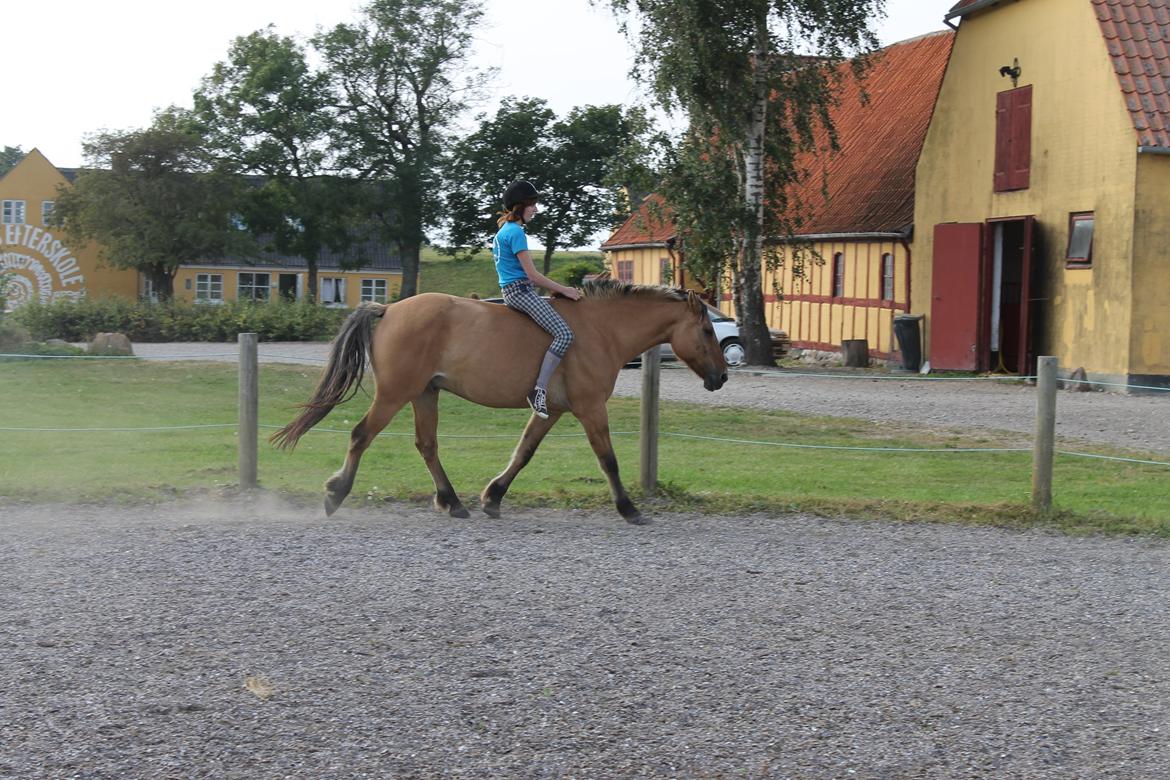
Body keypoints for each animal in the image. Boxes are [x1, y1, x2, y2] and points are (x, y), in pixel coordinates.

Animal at [272, 277, 725, 528]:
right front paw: (629, 509)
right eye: (707, 330)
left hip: (425, 394)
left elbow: (523, 452)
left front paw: (492, 497)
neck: (601, 330)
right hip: (396, 393)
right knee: (361, 435)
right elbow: (608, 460)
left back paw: (452, 503)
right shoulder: (590, 408)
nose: (721, 376)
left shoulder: (552, 410)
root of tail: (388, 309)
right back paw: (335, 494)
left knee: (427, 446)